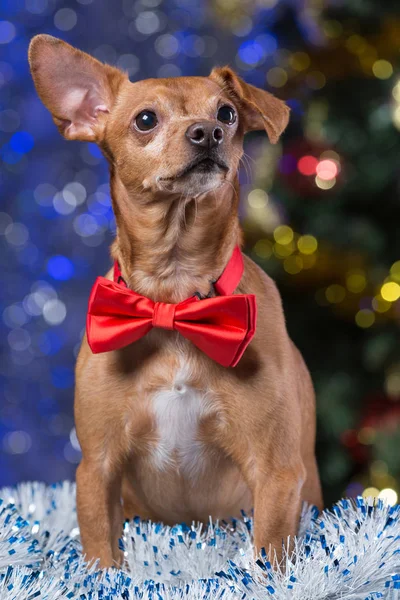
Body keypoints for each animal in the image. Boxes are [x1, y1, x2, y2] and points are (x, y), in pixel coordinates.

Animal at [28, 34, 324, 572]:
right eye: (146, 119)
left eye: (228, 113)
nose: (209, 132)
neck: (175, 298)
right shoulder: (97, 469)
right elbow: (101, 554)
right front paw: (106, 578)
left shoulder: (276, 473)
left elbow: (270, 561)